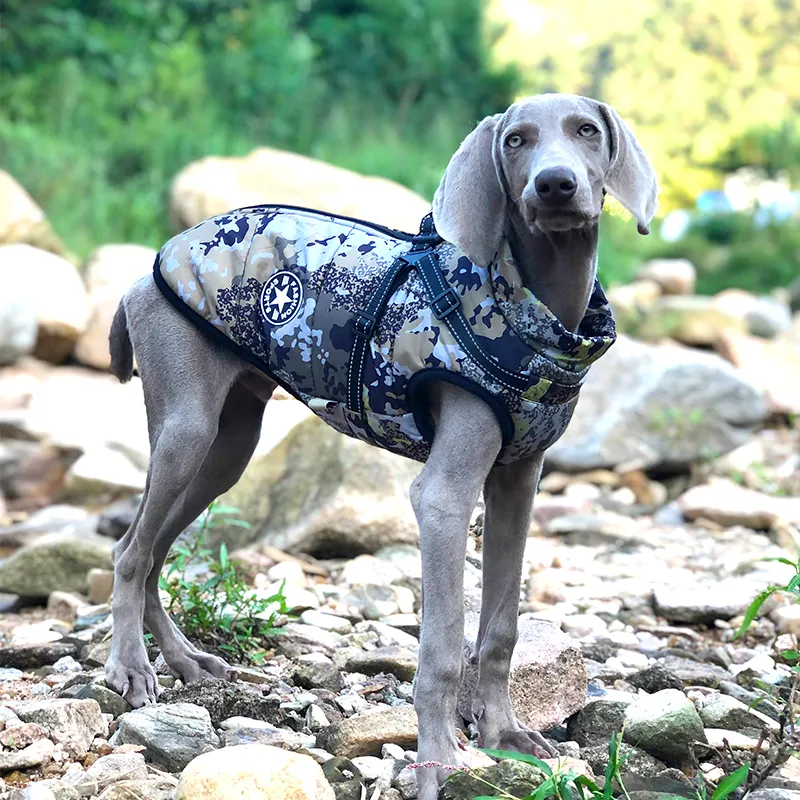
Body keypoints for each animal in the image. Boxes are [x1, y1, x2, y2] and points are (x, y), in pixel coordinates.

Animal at [106, 95, 656, 800]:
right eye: (516, 140)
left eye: (587, 131)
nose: (554, 185)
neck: (530, 309)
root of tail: (144, 273)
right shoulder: (444, 500)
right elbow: (443, 648)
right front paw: (439, 763)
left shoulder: (517, 481)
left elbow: (500, 628)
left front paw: (504, 734)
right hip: (186, 429)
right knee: (130, 551)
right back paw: (130, 667)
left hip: (229, 447)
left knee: (149, 550)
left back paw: (184, 660)